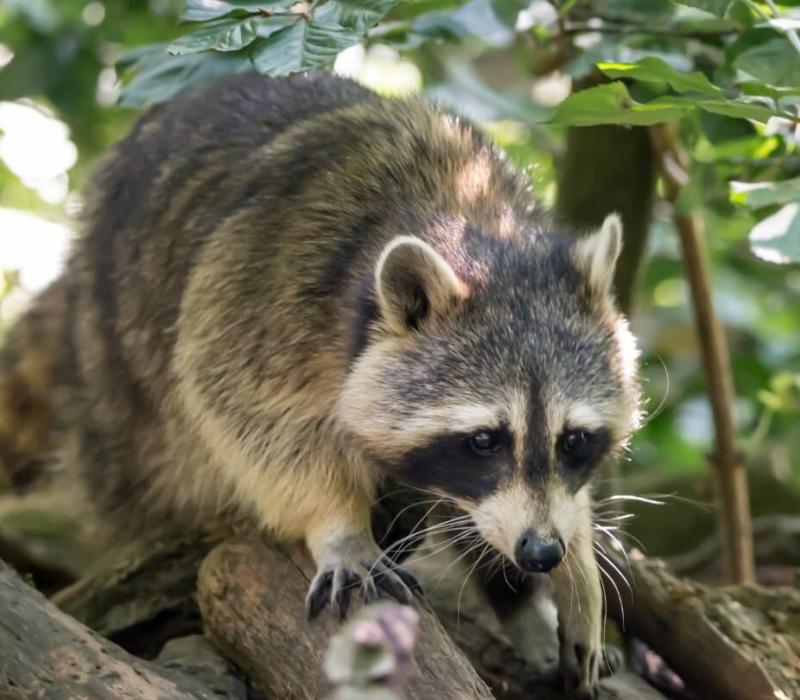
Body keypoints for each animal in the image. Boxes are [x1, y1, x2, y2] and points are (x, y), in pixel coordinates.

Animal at [0, 71, 636, 696]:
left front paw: (575, 564)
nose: (541, 551)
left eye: (574, 439)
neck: (473, 228)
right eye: (484, 440)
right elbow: (248, 412)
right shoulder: (260, 289)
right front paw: (338, 523)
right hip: (116, 379)